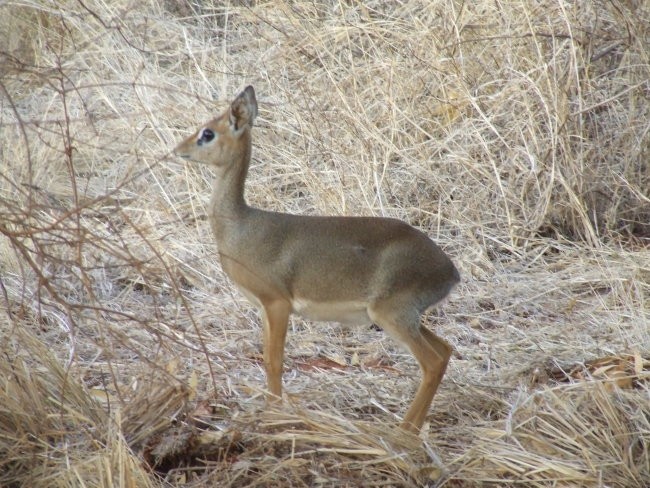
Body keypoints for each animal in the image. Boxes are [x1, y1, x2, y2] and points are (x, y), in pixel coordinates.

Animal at [175, 86, 458, 430]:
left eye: (208, 133)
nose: (178, 149)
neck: (240, 227)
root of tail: (450, 271)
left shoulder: (277, 303)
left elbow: (274, 361)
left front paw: (273, 417)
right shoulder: (263, 308)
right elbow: (267, 359)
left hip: (391, 314)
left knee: (432, 362)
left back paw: (404, 431)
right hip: (410, 317)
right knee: (445, 350)